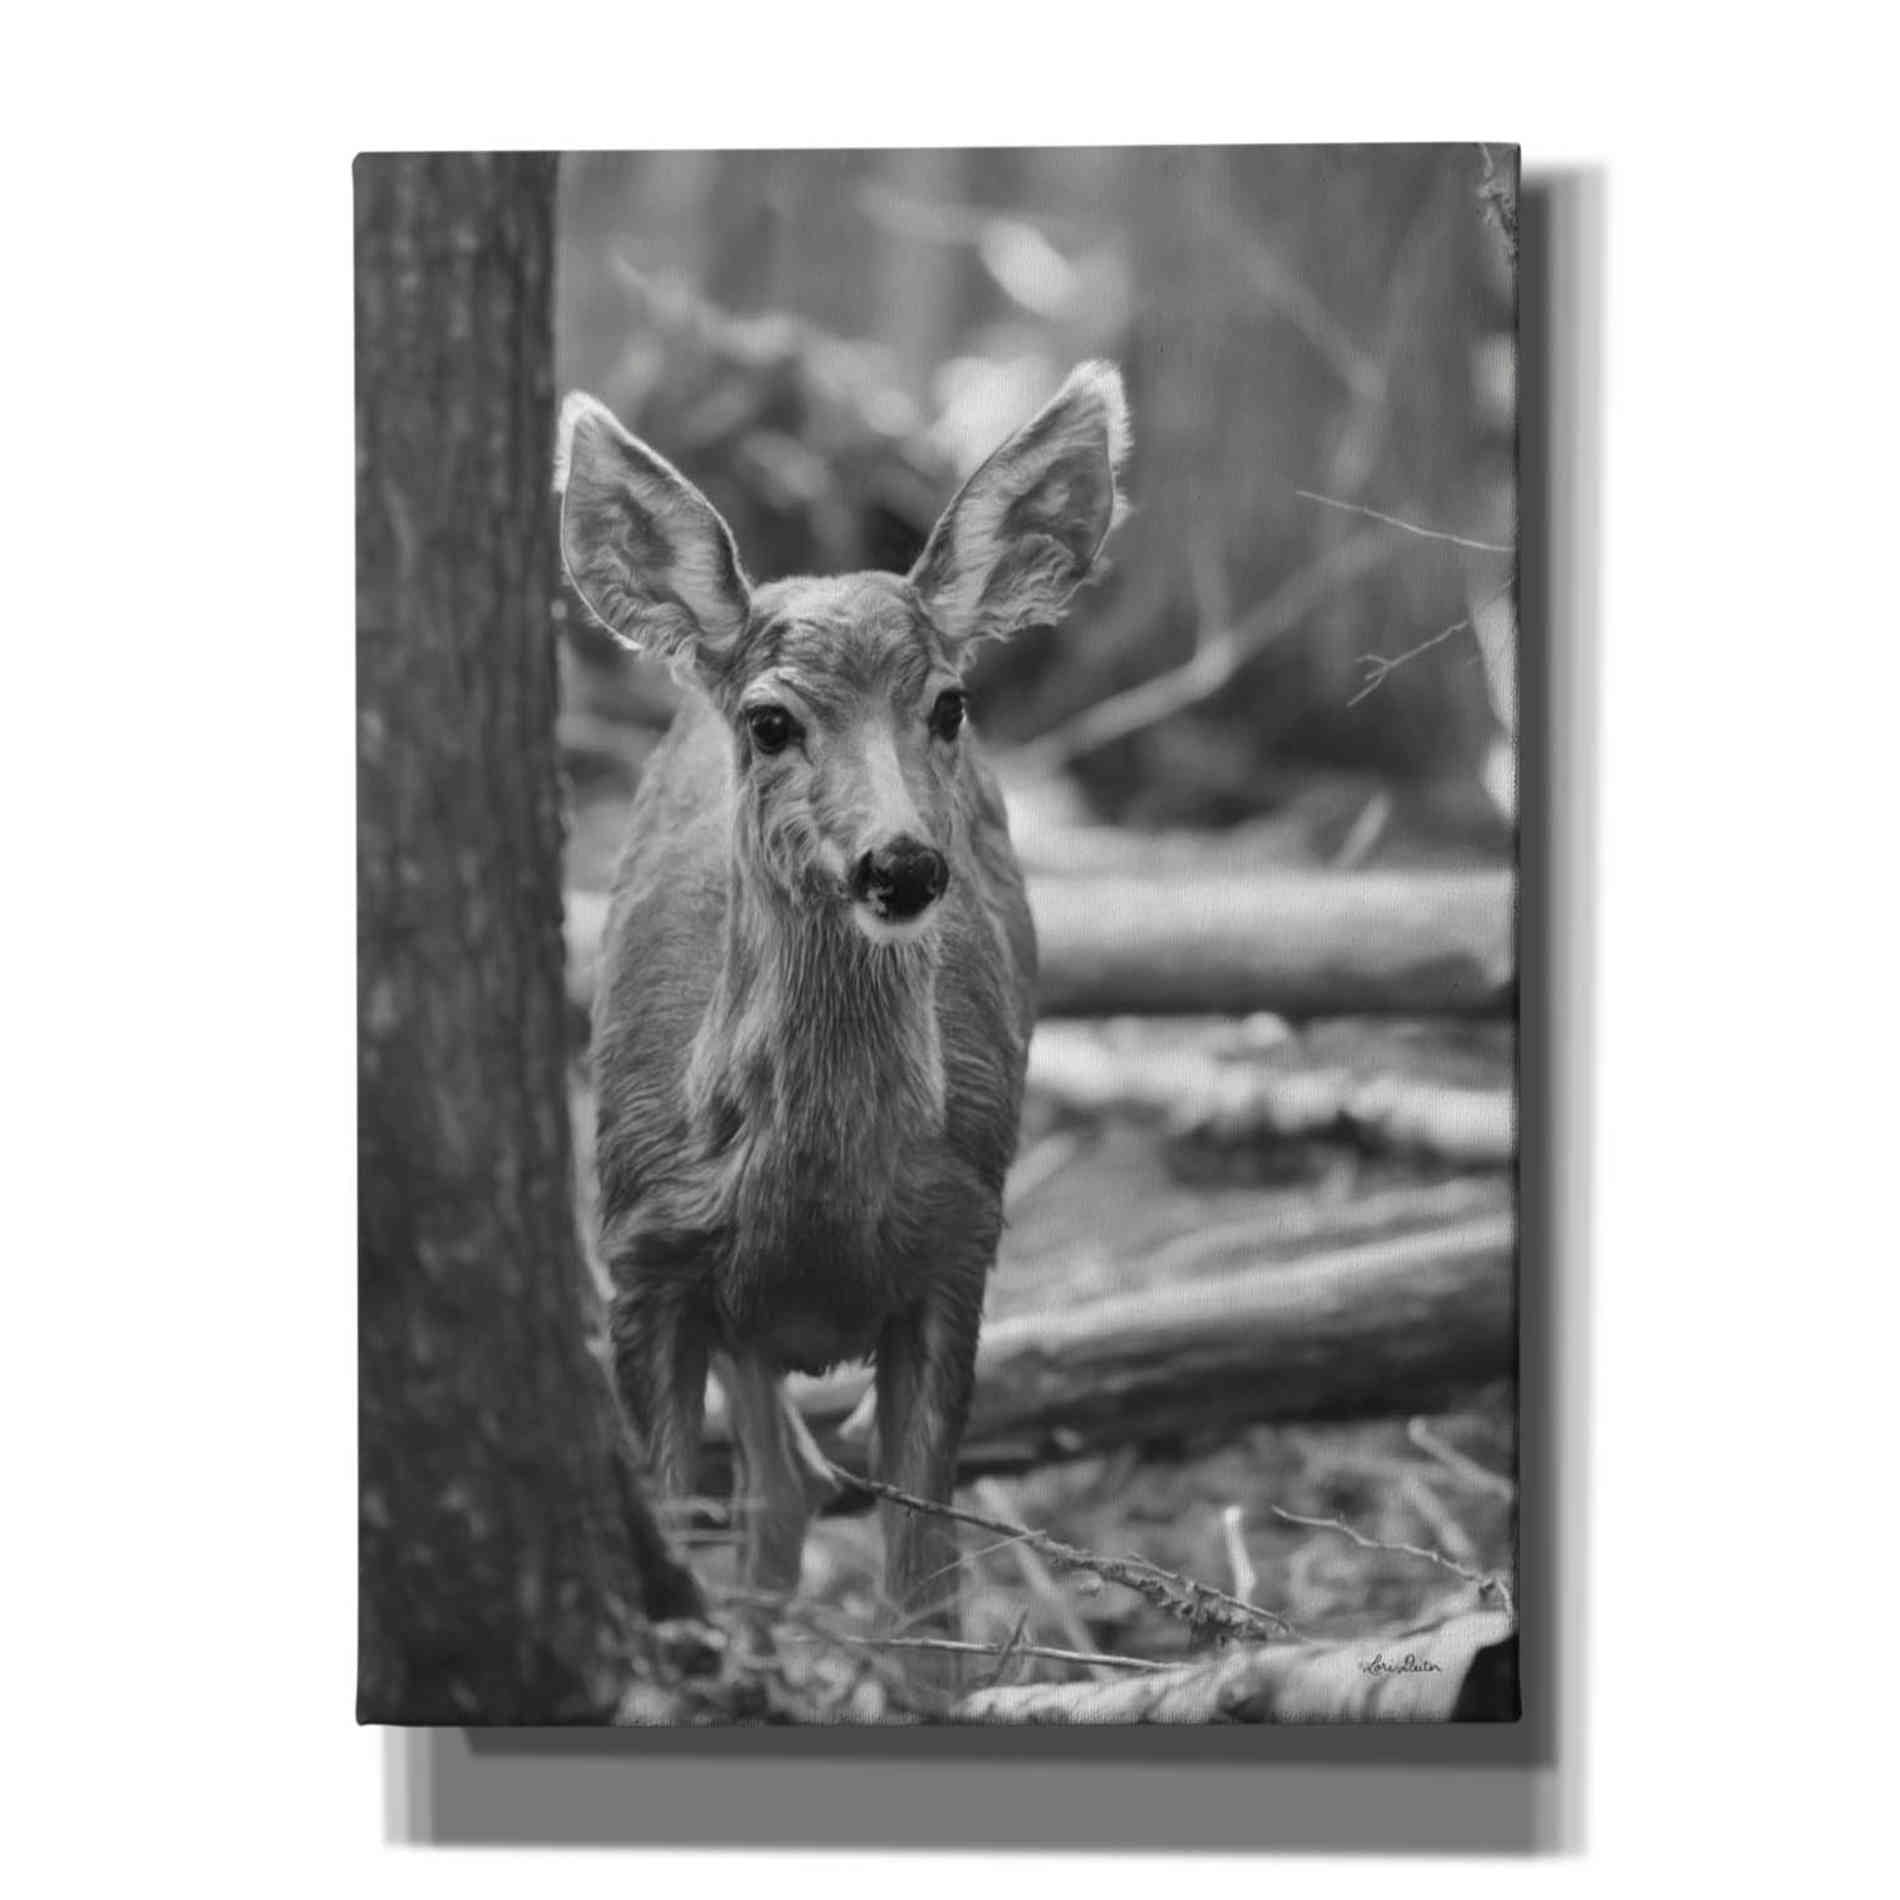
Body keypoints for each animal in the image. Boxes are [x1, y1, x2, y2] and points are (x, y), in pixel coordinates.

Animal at [553, 361, 1130, 1701]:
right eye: (770, 721)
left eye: (950, 703)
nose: (902, 864)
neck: (810, 1211)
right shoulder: (642, 1255)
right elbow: (684, 1515)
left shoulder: (960, 1247)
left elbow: (928, 1607)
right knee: (778, 1490)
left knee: (793, 1490)